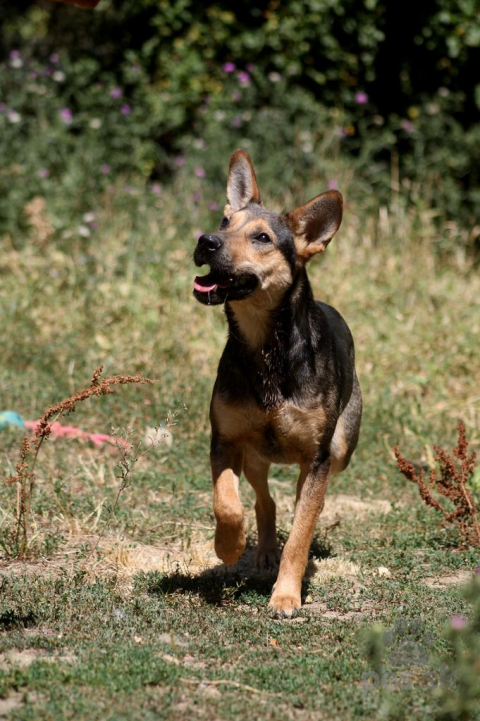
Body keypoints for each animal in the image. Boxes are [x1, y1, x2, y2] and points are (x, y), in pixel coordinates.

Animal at [193, 149, 362, 616]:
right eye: (223, 222)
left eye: (262, 238)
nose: (205, 241)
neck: (266, 347)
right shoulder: (224, 439)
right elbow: (227, 503)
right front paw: (229, 547)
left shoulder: (319, 457)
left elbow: (302, 533)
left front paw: (286, 594)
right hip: (254, 453)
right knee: (263, 498)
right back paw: (264, 548)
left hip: (339, 450)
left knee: (304, 495)